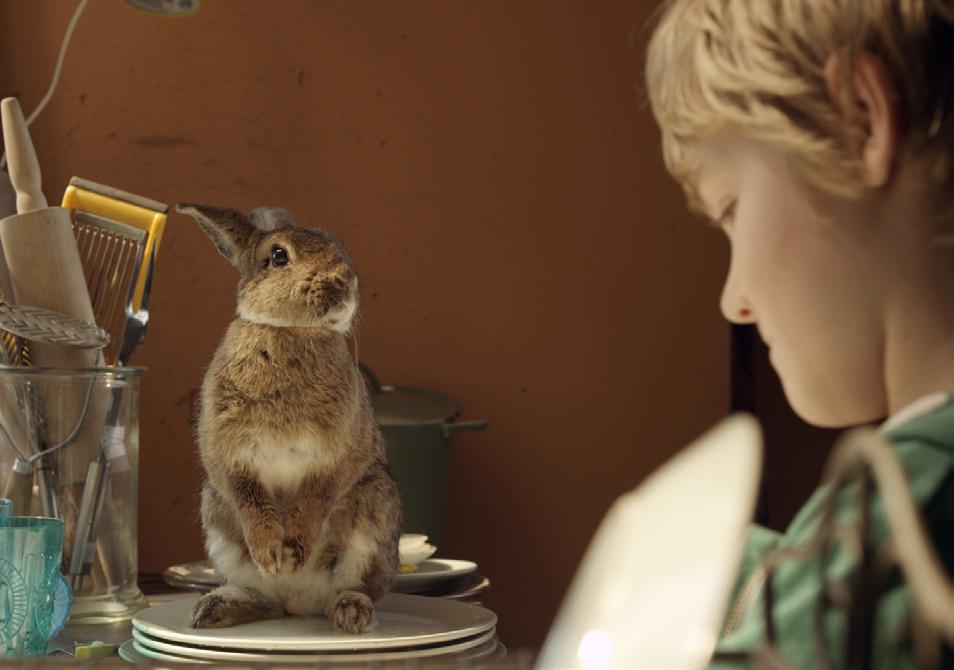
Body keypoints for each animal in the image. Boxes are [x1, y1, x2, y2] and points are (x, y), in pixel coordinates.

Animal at [177, 205, 400, 636]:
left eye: (337, 245)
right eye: (279, 256)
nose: (344, 280)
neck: (293, 330)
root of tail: (300, 604)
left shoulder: (335, 456)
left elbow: (315, 496)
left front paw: (294, 552)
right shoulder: (230, 457)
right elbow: (251, 501)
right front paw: (272, 555)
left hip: (374, 517)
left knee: (353, 587)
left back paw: (350, 613)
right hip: (216, 518)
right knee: (268, 603)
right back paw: (215, 609)